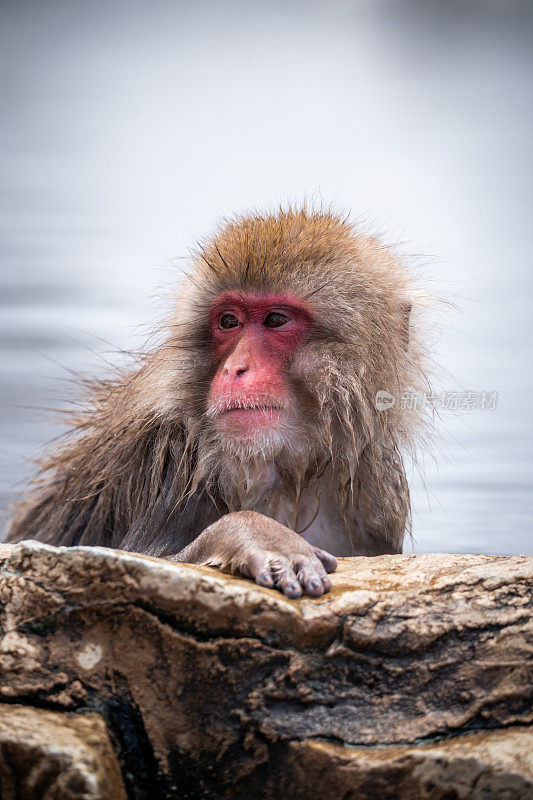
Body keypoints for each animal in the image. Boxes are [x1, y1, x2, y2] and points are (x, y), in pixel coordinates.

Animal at [6, 209, 426, 596]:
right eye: (228, 321)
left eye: (276, 319)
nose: (234, 368)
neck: (288, 475)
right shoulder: (170, 457)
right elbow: (140, 560)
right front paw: (255, 534)